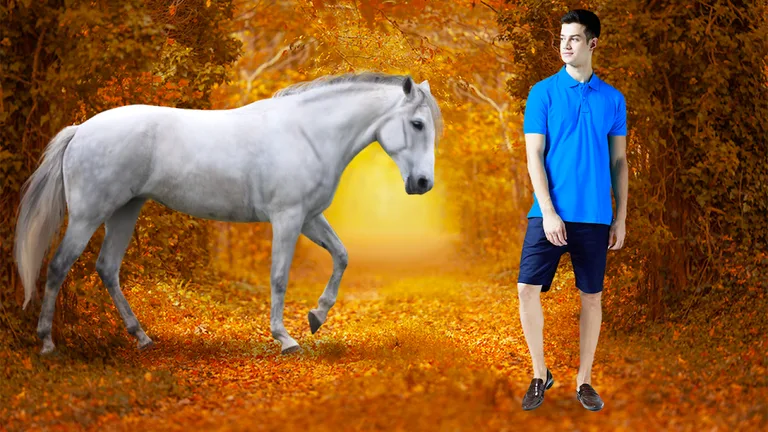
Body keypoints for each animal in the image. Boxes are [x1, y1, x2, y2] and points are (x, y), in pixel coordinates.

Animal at [13, 72, 443, 356]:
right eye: (417, 123)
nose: (423, 183)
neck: (309, 134)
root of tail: (81, 129)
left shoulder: (309, 217)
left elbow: (341, 255)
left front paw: (316, 316)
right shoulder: (287, 218)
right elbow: (279, 277)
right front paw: (285, 339)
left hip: (124, 211)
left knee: (106, 268)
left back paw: (141, 337)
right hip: (89, 215)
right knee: (59, 265)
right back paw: (47, 342)